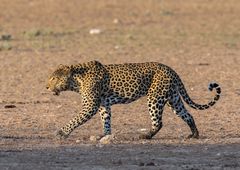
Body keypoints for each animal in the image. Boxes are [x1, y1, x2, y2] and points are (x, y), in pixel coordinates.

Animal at [46, 60, 220, 140]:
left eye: (54, 78)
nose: (46, 87)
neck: (76, 81)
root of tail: (171, 70)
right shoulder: (103, 105)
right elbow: (106, 120)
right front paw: (105, 136)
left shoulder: (90, 106)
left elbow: (74, 120)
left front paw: (62, 132)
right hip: (174, 99)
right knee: (188, 115)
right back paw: (194, 135)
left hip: (155, 98)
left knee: (159, 122)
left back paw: (147, 136)